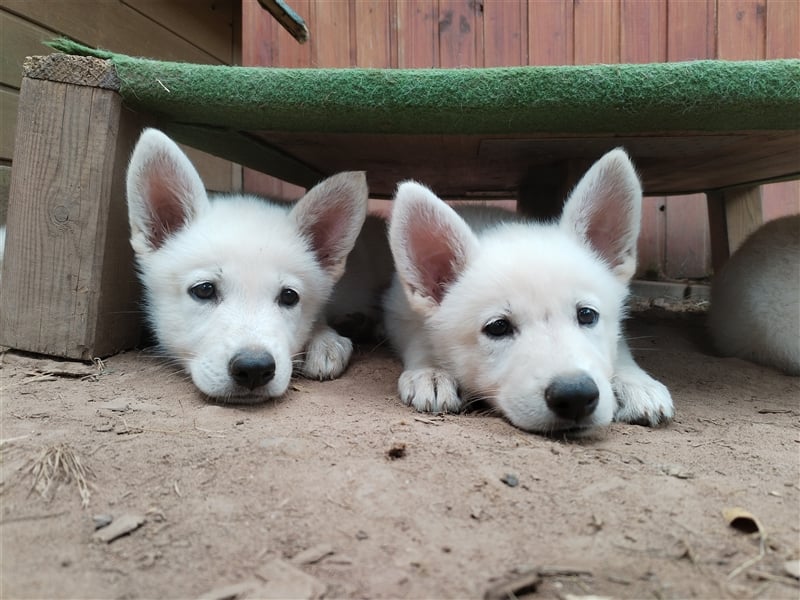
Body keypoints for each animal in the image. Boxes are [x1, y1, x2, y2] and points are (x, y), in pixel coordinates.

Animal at [384, 148, 672, 434]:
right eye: (498, 327)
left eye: (587, 315)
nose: (575, 396)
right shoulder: (399, 313)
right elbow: (420, 338)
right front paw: (430, 372)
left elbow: (618, 345)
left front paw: (636, 382)